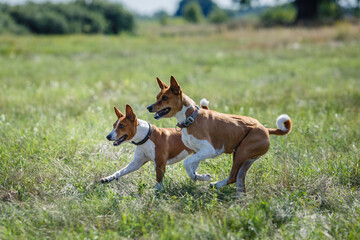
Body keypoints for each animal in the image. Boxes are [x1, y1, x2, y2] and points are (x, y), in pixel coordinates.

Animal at [148, 76, 292, 195]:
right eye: (157, 97)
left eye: (165, 98)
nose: (149, 107)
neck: (191, 118)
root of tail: (266, 129)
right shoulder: (198, 151)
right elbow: (191, 168)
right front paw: (200, 177)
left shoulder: (209, 150)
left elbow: (186, 163)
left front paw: (199, 177)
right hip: (247, 159)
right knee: (240, 180)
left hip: (241, 153)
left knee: (233, 177)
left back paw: (216, 185)